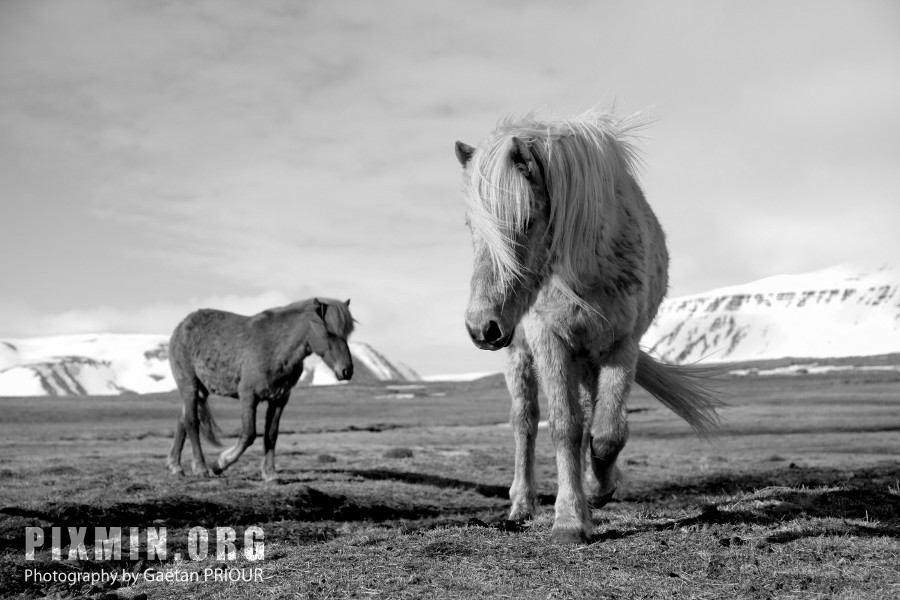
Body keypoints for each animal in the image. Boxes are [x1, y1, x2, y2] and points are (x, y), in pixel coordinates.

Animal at [166, 298, 356, 480]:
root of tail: (182, 325)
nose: (347, 371)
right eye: (329, 332)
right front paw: (220, 464)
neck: (276, 347)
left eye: (346, 334)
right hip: (189, 384)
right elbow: (249, 434)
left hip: (201, 390)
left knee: (182, 420)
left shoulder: (279, 399)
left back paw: (176, 467)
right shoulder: (248, 396)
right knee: (191, 422)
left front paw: (270, 473)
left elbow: (271, 435)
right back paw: (200, 468)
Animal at [454, 109, 720, 544]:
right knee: (525, 422)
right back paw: (522, 505)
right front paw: (569, 520)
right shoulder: (549, 341)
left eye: (526, 220)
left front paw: (599, 488)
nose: (482, 327)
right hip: (521, 355)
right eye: (471, 226)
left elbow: (607, 431)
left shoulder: (621, 344)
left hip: (588, 359)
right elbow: (565, 426)